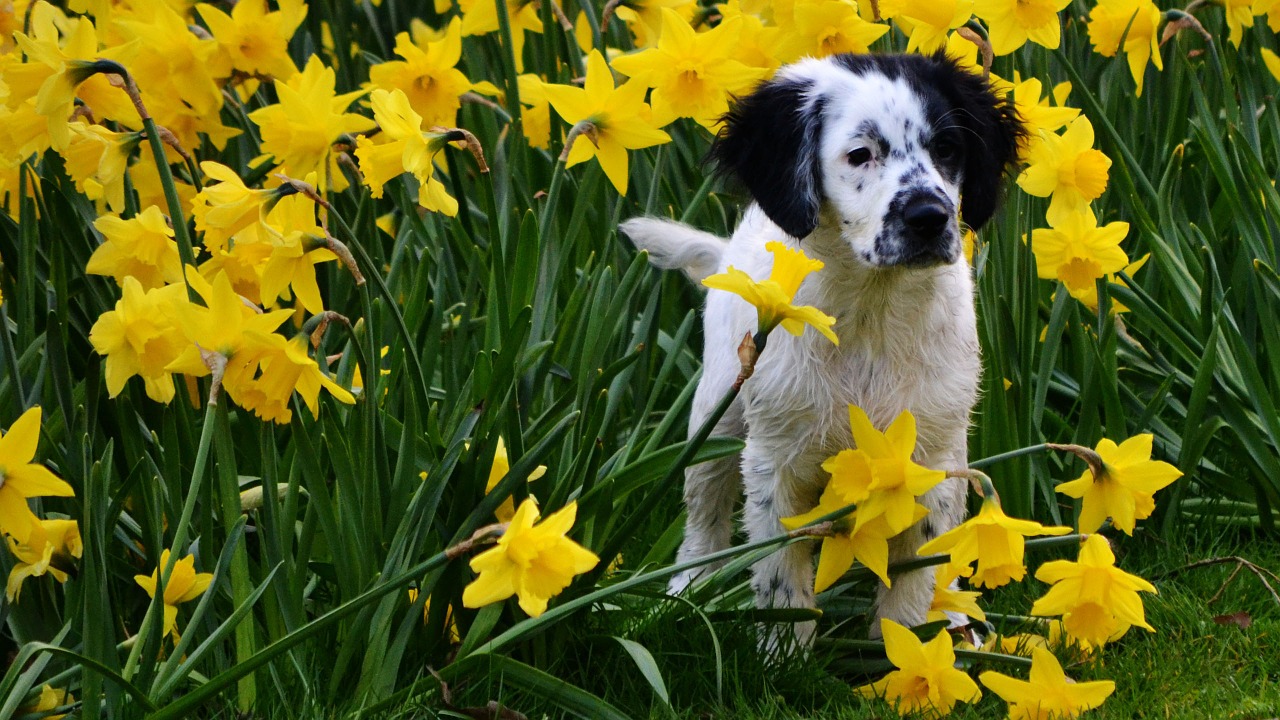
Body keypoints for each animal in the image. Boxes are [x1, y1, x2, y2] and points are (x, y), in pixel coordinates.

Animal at [619, 53, 1018, 640]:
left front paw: (909, 651)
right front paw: (784, 652)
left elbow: (914, 575)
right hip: (719, 407)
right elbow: (781, 575)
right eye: (860, 155)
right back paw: (686, 592)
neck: (872, 313)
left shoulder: (932, 458)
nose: (930, 217)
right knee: (704, 508)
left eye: (948, 149)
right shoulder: (774, 459)